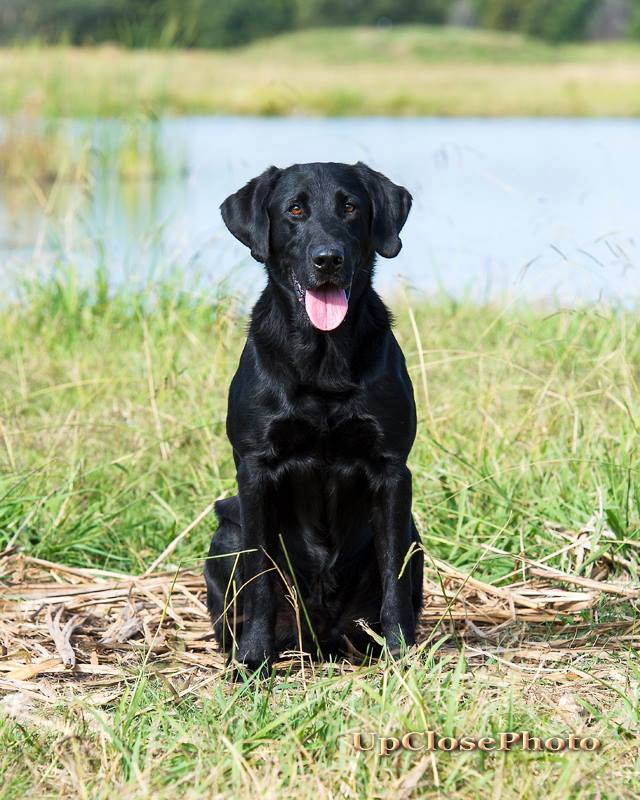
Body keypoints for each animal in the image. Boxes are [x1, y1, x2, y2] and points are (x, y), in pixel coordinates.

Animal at [205, 159, 422, 672]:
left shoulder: (392, 471)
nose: (328, 259)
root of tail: (320, 638)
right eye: (295, 210)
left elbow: (393, 575)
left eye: (350, 208)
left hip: (416, 533)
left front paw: (400, 651)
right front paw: (254, 658)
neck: (323, 357)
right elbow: (260, 579)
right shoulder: (255, 470)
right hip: (227, 527)